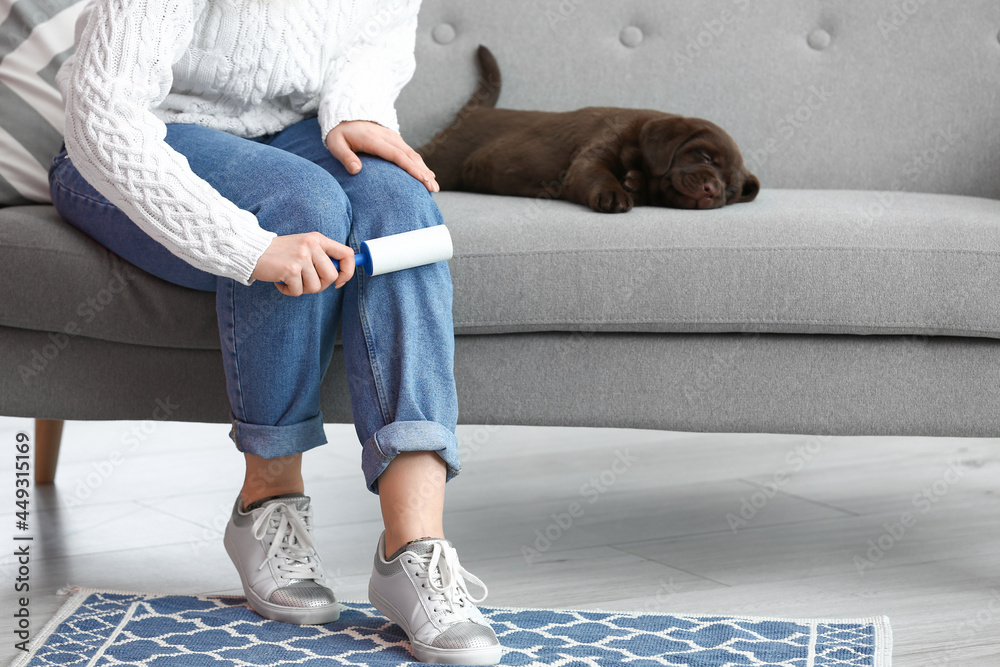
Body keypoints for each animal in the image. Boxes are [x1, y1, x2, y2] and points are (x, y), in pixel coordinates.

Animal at [420, 46, 756, 213]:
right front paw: (615, 193)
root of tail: (475, 111)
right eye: (704, 156)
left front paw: (634, 183)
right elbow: (597, 174)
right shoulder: (592, 157)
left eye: (731, 189)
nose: (712, 189)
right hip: (444, 158)